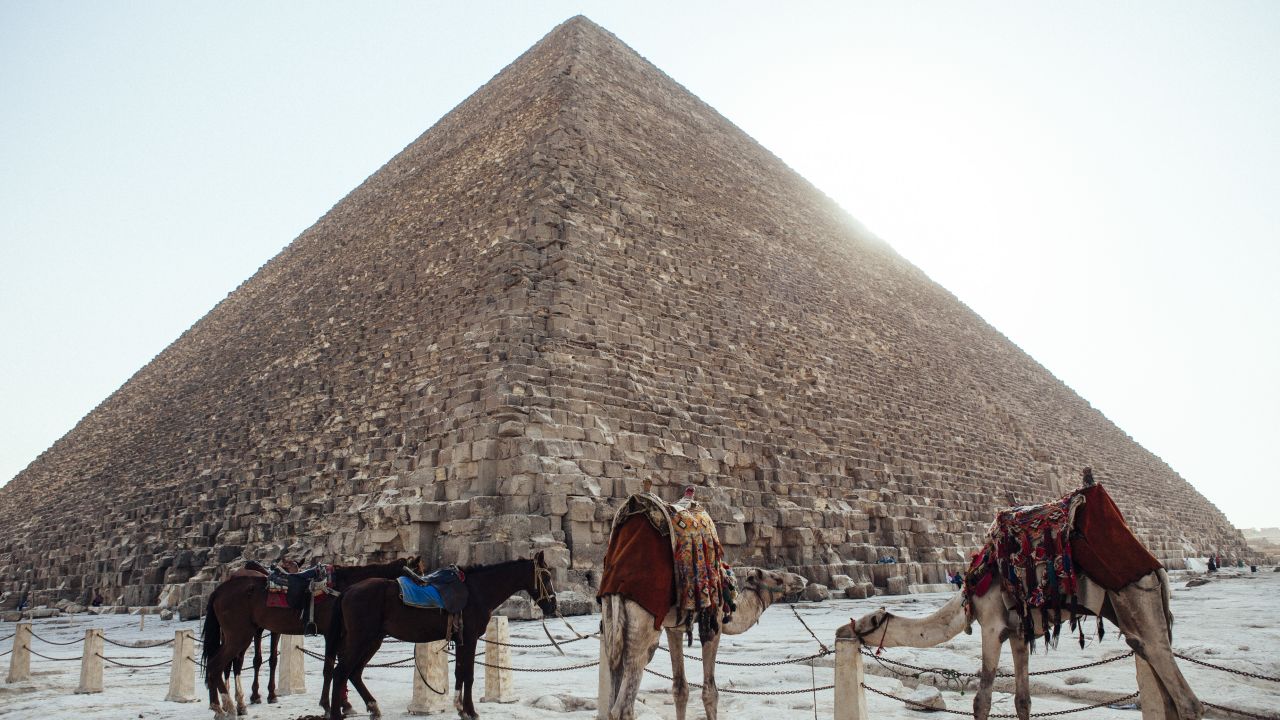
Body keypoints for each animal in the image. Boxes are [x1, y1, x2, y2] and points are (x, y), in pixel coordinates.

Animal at [199, 556, 419, 717]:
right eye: (416, 575)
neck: (345, 587)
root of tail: (219, 590)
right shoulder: (332, 634)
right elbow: (331, 668)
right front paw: (331, 705)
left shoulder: (342, 635)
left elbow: (338, 667)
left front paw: (343, 705)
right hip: (239, 634)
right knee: (218, 664)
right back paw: (226, 706)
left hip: (239, 633)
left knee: (218, 663)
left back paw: (222, 705)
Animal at [325, 550, 555, 712]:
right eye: (546, 577)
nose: (553, 606)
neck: (477, 590)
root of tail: (348, 590)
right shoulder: (470, 637)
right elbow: (468, 674)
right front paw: (470, 711)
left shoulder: (461, 638)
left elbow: (460, 672)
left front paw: (461, 707)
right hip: (360, 639)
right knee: (340, 673)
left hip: (373, 640)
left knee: (354, 673)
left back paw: (372, 707)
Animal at [604, 566, 803, 717]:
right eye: (777, 578)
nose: (801, 579)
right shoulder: (715, 623)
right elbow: (710, 692)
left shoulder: (673, 628)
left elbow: (680, 689)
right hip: (643, 625)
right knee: (623, 706)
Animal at [834, 566, 1203, 717]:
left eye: (867, 622)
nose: (841, 632)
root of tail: (1158, 570)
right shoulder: (1018, 634)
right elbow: (1022, 700)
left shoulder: (991, 626)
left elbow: (981, 700)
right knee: (1158, 674)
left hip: (1135, 598)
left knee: (1185, 697)